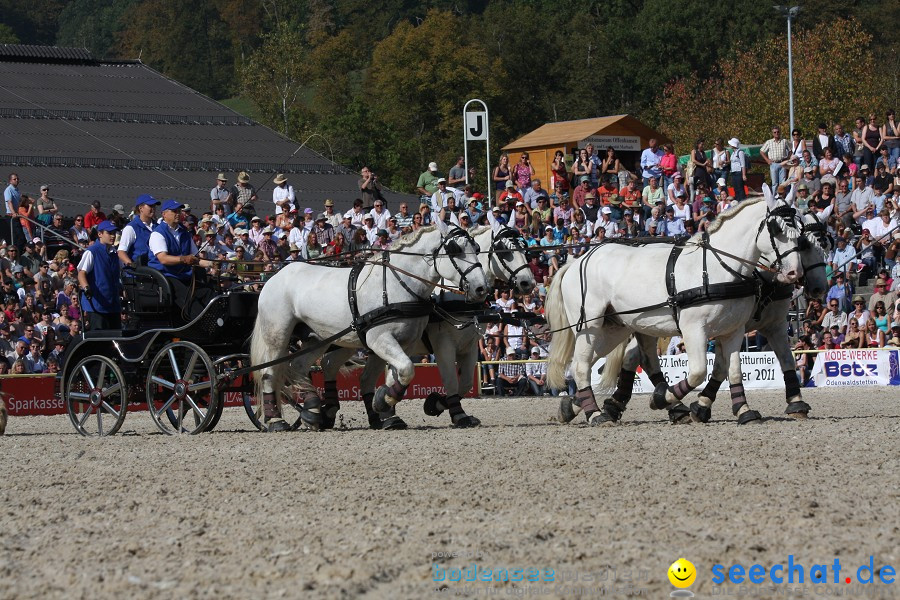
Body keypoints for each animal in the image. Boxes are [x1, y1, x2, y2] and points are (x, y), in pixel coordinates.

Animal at [250, 220, 488, 432]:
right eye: (455, 249)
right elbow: (409, 369)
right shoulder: (381, 339)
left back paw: (312, 411)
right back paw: (276, 420)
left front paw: (385, 403)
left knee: (298, 365)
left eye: (476, 249)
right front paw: (385, 404)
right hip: (277, 335)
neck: (396, 284)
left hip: (317, 338)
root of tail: (274, 278)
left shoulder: (406, 343)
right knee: (269, 372)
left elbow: (399, 374)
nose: (481, 288)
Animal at [346, 223, 536, 428]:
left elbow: (466, 382)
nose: (529, 283)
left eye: (524, 249)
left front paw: (437, 403)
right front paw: (456, 414)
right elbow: (451, 379)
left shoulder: (469, 345)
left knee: (364, 378)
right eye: (505, 251)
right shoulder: (443, 344)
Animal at [544, 188, 804, 426]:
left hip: (614, 327)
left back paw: (572, 408)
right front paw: (662, 398)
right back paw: (596, 414)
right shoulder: (693, 329)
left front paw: (744, 411)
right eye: (776, 229)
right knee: (582, 365)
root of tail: (576, 261)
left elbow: (732, 371)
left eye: (801, 231)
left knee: (585, 363)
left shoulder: (733, 331)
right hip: (590, 325)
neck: (716, 268)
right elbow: (698, 371)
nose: (795, 273)